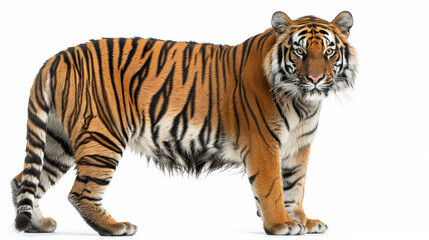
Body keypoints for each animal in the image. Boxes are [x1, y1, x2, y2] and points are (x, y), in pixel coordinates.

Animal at [11, 10, 356, 235]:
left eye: (328, 51)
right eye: (299, 52)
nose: (315, 79)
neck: (303, 102)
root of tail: (56, 57)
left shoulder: (298, 147)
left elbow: (295, 186)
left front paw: (303, 221)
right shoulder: (264, 143)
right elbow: (272, 186)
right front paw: (280, 223)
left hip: (59, 140)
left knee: (24, 181)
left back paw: (36, 225)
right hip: (101, 137)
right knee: (80, 193)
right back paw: (115, 227)